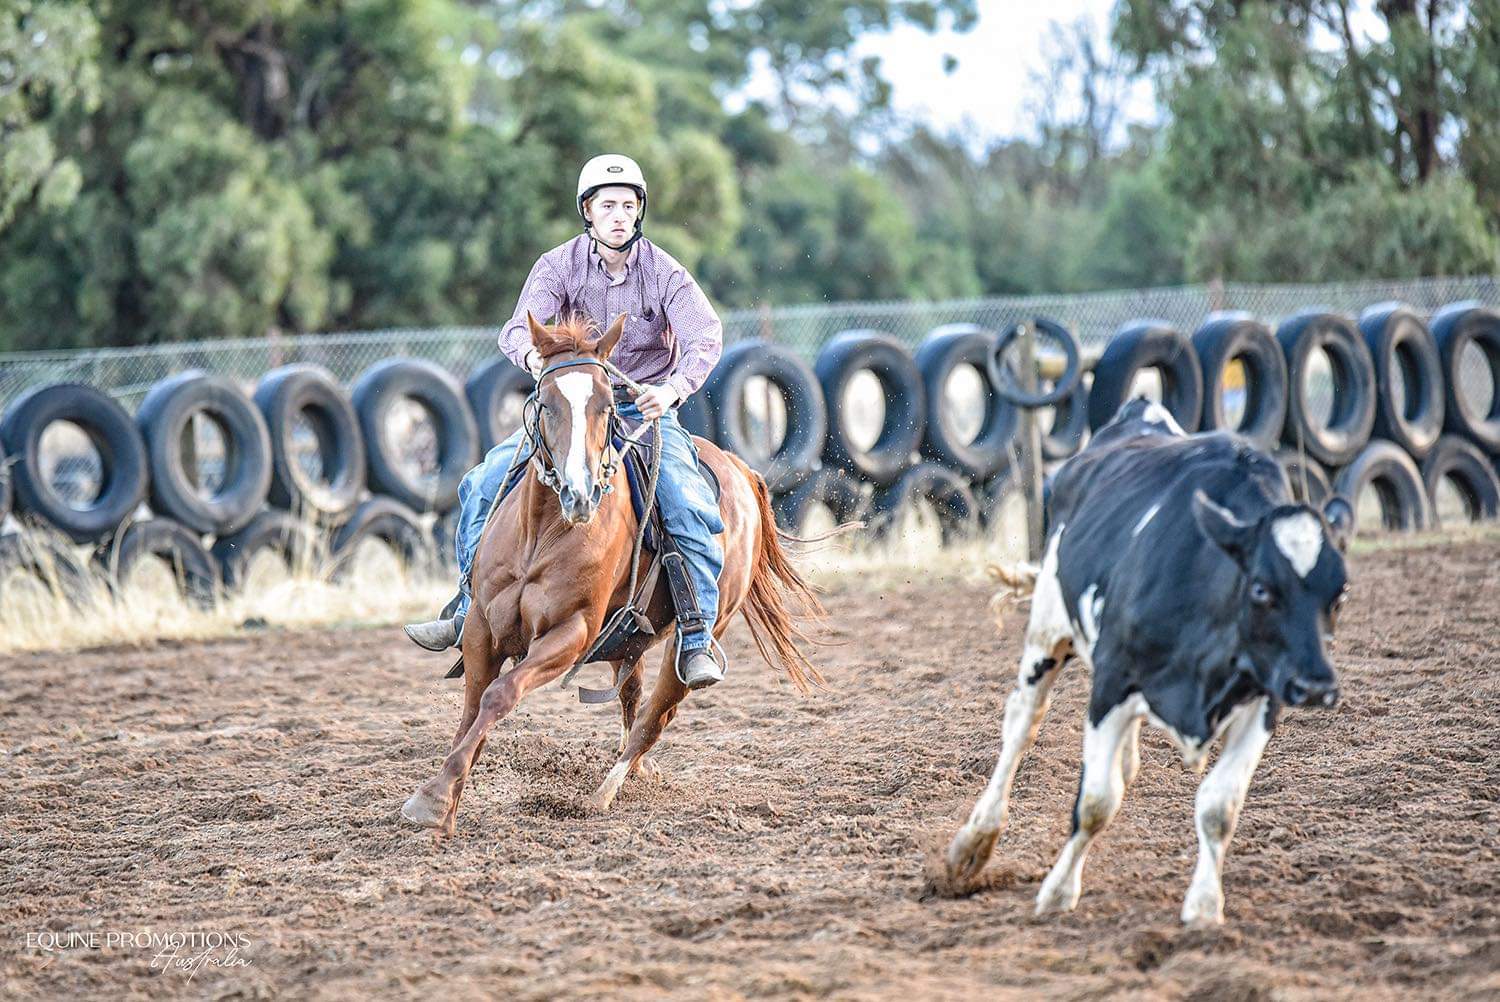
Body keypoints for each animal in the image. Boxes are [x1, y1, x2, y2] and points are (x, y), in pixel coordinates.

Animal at [401, 312, 825, 834]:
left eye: (606, 406)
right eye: (546, 403)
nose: (579, 494)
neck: (542, 532)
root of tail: (741, 470)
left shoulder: (571, 633)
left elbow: (500, 696)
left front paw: (435, 797)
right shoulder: (482, 625)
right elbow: (472, 709)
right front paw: (446, 799)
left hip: (698, 636)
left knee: (652, 718)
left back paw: (604, 793)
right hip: (630, 642)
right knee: (631, 699)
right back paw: (640, 773)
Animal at [944, 397, 1354, 927]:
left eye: (1339, 593)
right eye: (1262, 588)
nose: (1317, 686)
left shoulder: (1264, 701)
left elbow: (1219, 808)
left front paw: (1204, 906)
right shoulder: (1111, 688)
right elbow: (1096, 802)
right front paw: (1058, 891)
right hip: (1048, 631)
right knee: (1021, 728)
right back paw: (974, 842)